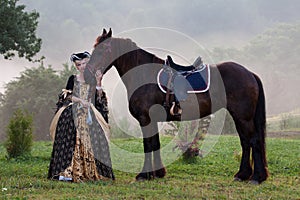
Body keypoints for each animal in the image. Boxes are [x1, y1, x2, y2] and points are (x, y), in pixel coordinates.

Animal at [84, 28, 270, 184]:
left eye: (101, 49)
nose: (86, 74)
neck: (144, 75)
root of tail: (249, 73)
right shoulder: (152, 120)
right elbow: (155, 144)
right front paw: (158, 173)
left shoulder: (145, 119)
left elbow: (147, 145)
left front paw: (144, 175)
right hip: (240, 117)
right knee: (245, 142)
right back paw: (242, 174)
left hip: (243, 117)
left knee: (253, 141)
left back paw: (256, 177)